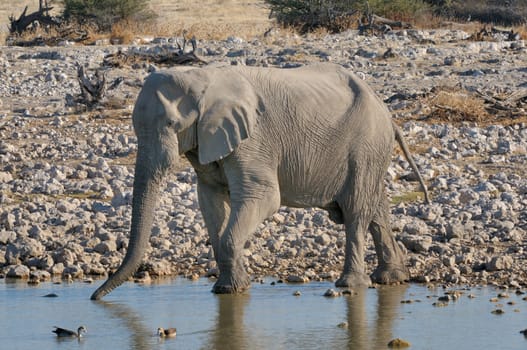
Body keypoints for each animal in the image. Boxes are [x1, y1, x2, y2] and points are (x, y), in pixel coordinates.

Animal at [89, 63, 428, 300]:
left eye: (173, 124)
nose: (94, 297)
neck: (203, 77)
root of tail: (387, 111)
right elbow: (209, 200)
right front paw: (230, 288)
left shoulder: (253, 140)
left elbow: (264, 198)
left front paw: (232, 290)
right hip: (370, 150)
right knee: (376, 210)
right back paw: (391, 278)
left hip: (366, 144)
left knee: (357, 211)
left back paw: (350, 284)